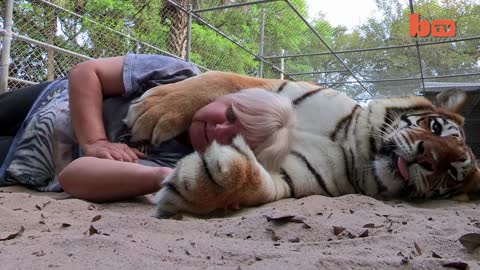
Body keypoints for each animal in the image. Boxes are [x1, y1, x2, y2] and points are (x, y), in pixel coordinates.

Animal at [124, 70, 480, 217]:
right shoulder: (274, 87)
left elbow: (259, 184)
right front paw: (154, 108)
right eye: (435, 127)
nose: (427, 158)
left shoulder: (291, 176)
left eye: (451, 173)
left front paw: (203, 180)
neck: (352, 146)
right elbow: (221, 80)